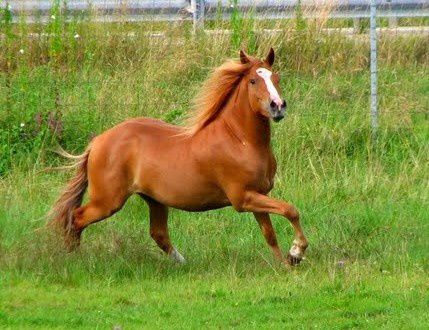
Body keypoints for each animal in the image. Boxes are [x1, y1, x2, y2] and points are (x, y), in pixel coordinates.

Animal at [50, 48, 308, 266]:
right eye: (253, 80)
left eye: (277, 79)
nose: (278, 106)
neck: (239, 141)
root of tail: (98, 142)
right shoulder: (243, 198)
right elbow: (290, 210)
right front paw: (296, 252)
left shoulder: (259, 194)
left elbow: (270, 233)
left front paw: (285, 264)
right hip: (108, 201)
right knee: (77, 218)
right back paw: (73, 258)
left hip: (154, 199)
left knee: (158, 233)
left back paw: (183, 263)